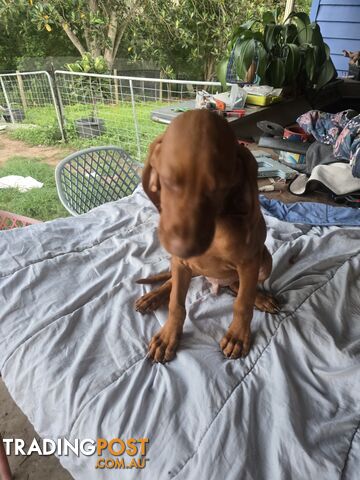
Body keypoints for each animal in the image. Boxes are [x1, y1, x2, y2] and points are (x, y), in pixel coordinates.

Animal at [135, 109, 278, 364]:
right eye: (167, 180)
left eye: (219, 189)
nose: (182, 247)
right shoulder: (180, 263)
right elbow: (176, 303)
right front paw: (168, 336)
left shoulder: (249, 262)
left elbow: (243, 303)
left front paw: (237, 336)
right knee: (172, 283)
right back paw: (153, 297)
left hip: (265, 261)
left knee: (238, 287)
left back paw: (260, 297)